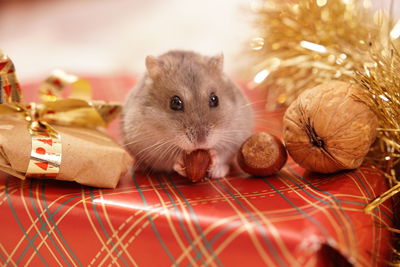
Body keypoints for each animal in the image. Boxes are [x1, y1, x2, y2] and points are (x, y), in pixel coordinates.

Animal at [121, 51, 253, 179]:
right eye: (175, 103)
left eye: (215, 99)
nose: (201, 143)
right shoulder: (150, 148)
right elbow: (168, 160)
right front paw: (180, 162)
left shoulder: (235, 136)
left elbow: (222, 154)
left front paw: (214, 160)